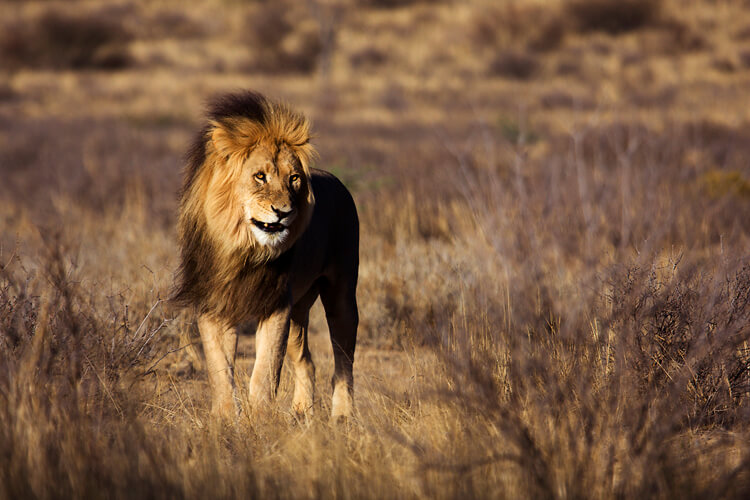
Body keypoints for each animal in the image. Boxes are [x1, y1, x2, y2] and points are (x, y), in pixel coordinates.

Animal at [173, 91, 359, 419]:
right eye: (259, 176)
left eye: (294, 178)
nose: (284, 212)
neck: (243, 250)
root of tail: (339, 182)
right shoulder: (214, 305)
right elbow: (219, 367)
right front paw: (225, 417)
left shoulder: (275, 306)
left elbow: (265, 370)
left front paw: (260, 417)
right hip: (299, 310)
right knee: (307, 361)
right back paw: (301, 412)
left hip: (342, 296)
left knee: (343, 362)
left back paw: (342, 416)